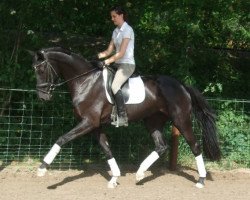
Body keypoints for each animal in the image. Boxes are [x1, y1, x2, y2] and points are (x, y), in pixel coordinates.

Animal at [29, 47, 221, 188]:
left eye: (41, 69)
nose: (42, 96)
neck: (85, 81)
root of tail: (181, 85)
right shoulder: (95, 125)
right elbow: (106, 149)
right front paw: (114, 178)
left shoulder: (88, 122)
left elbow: (62, 139)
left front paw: (42, 168)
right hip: (152, 121)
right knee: (161, 146)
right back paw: (140, 173)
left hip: (181, 120)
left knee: (195, 146)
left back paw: (201, 180)